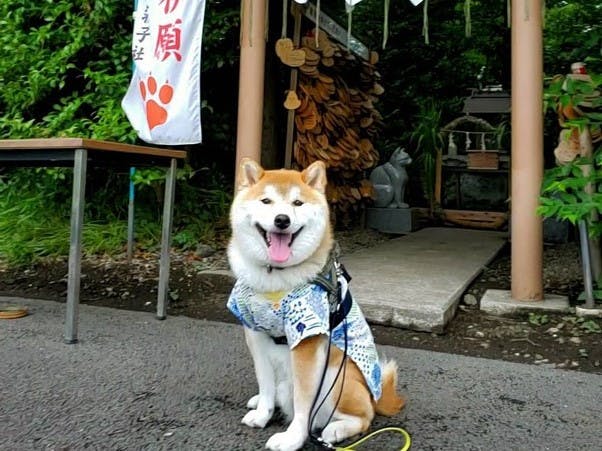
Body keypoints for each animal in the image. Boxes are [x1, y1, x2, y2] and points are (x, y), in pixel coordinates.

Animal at [225, 160, 404, 451]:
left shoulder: (306, 339)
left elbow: (302, 401)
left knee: (364, 416)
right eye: (266, 201)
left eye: (297, 203)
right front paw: (263, 414)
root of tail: (376, 396)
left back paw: (336, 431)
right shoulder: (254, 332)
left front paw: (293, 439)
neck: (274, 278)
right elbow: (265, 383)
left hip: (336, 378)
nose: (282, 220)